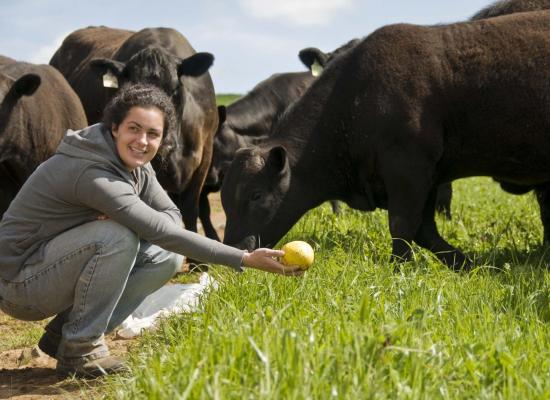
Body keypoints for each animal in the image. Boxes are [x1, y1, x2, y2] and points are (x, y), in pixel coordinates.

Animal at [220, 10, 550, 270]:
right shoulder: (427, 176)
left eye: (256, 195)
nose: (235, 248)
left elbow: (403, 225)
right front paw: (469, 265)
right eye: (224, 200)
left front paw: (398, 270)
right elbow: (425, 230)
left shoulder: (409, 168)